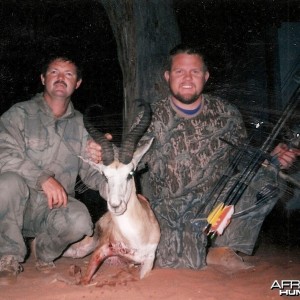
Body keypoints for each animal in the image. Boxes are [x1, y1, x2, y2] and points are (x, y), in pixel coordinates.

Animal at [64, 102, 161, 284]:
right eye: (104, 176)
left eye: (130, 173)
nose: (115, 206)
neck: (134, 238)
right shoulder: (100, 251)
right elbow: (84, 281)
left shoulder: (149, 260)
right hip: (80, 249)